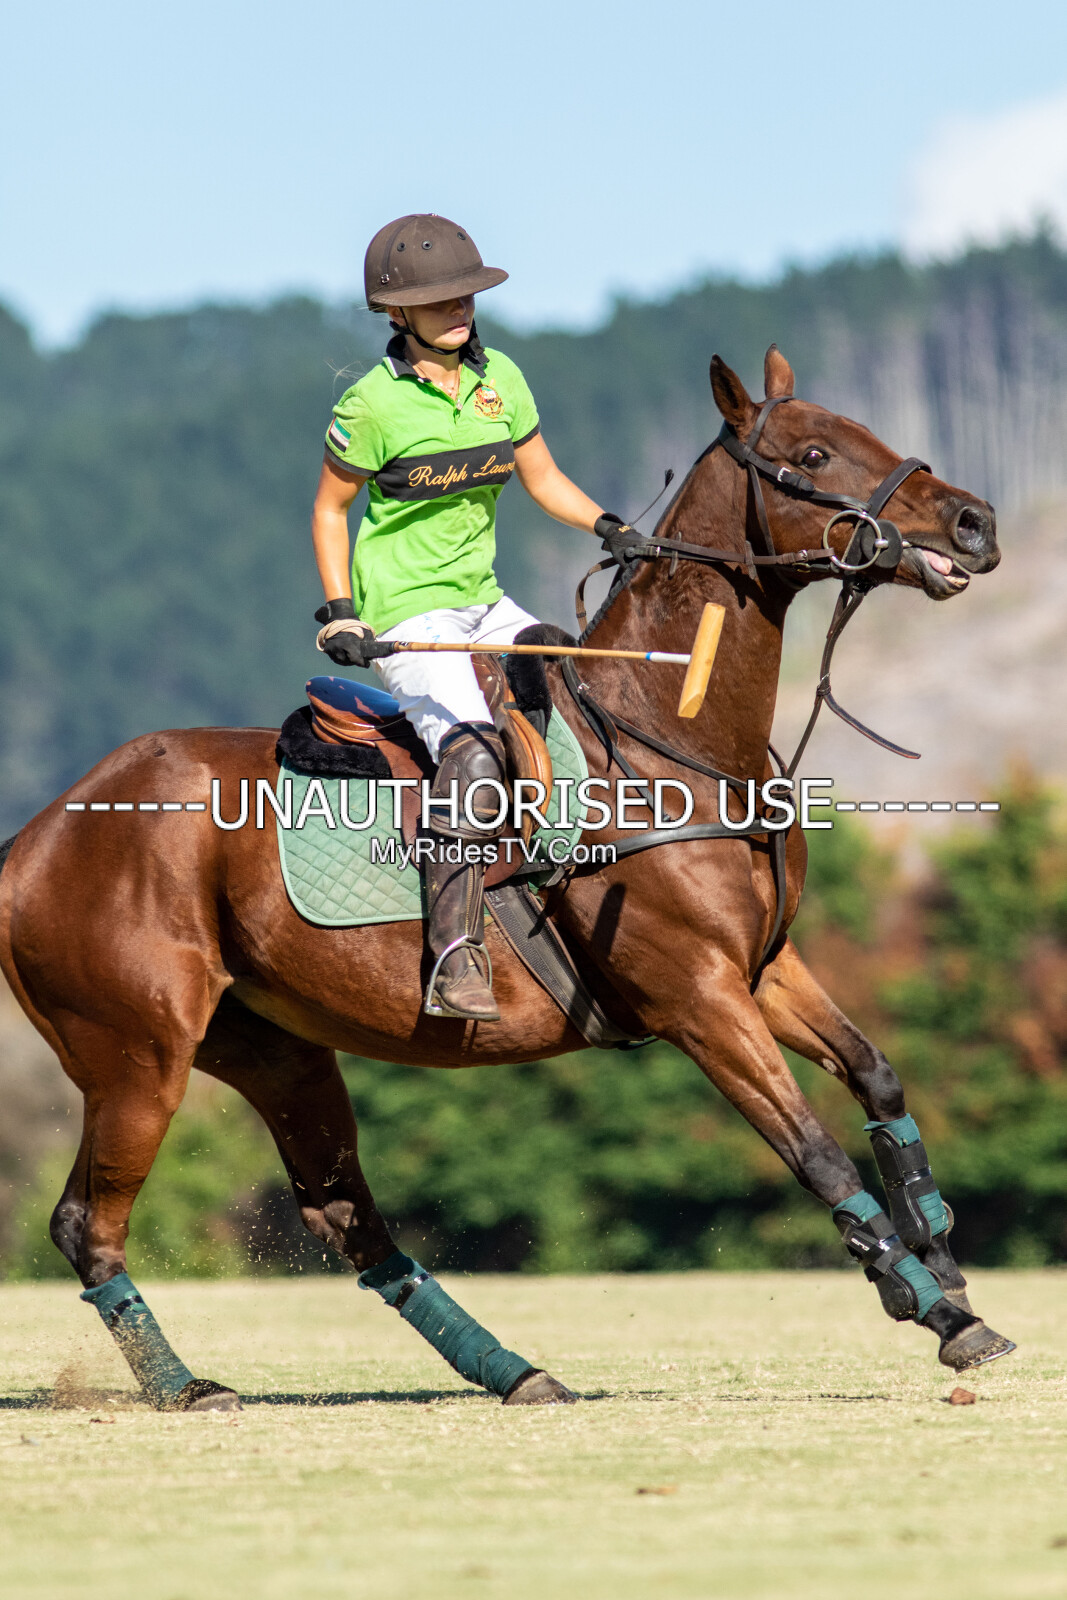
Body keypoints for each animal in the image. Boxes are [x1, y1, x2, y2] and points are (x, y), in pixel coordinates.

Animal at [0, 345, 1010, 1412]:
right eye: (812, 453)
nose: (974, 523)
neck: (668, 733)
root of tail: (33, 836)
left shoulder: (762, 968)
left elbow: (875, 1073)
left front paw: (945, 1269)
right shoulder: (695, 995)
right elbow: (811, 1150)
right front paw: (932, 1310)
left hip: (277, 1049)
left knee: (345, 1216)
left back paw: (514, 1371)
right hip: (135, 1054)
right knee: (86, 1223)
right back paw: (189, 1388)